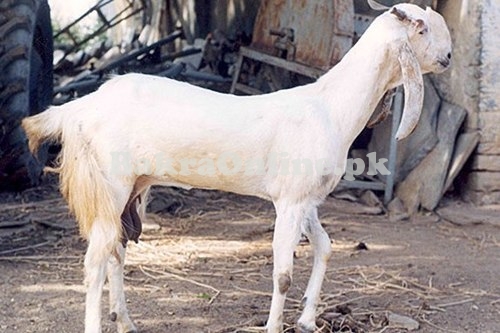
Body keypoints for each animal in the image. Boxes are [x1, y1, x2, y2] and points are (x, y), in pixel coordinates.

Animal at [22, 3, 454, 332]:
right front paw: (275, 327)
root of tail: (79, 107)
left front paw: (308, 321)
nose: (449, 58)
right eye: (421, 27)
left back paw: (126, 322)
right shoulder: (290, 200)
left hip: (131, 189)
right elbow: (283, 274)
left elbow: (326, 248)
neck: (330, 106)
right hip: (108, 186)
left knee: (115, 253)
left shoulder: (306, 200)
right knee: (94, 263)